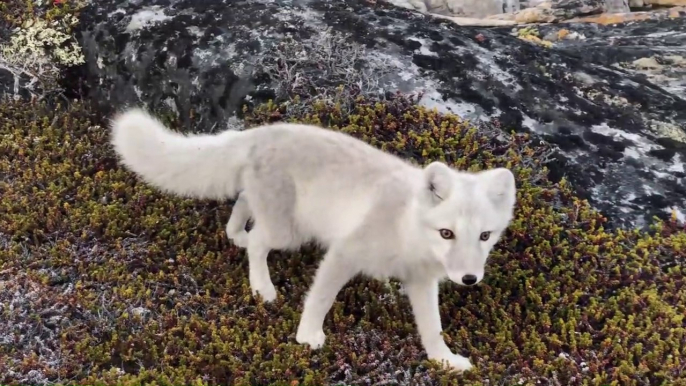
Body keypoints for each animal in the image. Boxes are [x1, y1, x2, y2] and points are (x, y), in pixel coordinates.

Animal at [109, 108, 516, 370]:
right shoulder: (344, 253)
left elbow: (432, 326)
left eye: (485, 235)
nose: (469, 279)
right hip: (289, 232)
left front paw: (444, 360)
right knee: (258, 242)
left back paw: (235, 233)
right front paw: (308, 336)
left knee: (243, 204)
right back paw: (262, 288)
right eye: (447, 232)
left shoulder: (421, 281)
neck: (408, 229)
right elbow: (321, 298)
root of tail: (259, 132)